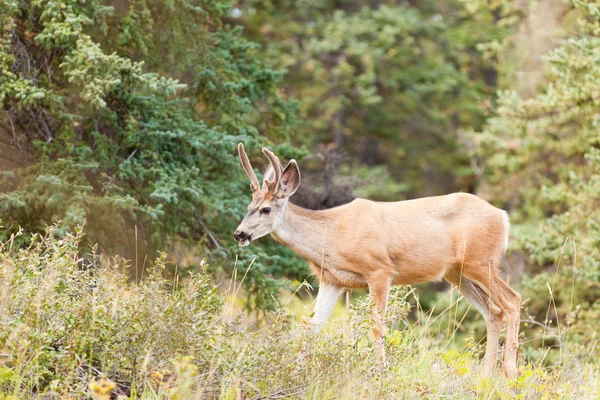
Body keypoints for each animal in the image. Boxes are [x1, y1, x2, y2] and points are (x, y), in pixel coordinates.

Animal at [234, 144, 520, 378]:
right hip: (456, 272)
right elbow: (312, 327)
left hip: (480, 261)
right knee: (493, 312)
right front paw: (291, 372)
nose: (239, 233)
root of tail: (503, 216)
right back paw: (486, 376)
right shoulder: (332, 280)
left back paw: (510, 373)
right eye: (248, 206)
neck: (332, 235)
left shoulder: (379, 270)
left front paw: (379, 372)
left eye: (266, 209)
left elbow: (376, 327)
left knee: (512, 300)